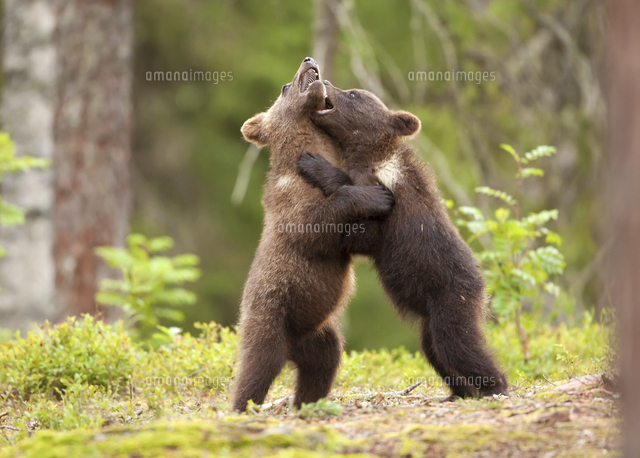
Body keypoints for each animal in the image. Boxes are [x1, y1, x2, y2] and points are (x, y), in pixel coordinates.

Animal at [231, 59, 396, 412]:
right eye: (284, 87)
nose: (308, 60)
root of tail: (291, 349)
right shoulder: (293, 206)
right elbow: (317, 224)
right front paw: (376, 197)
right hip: (269, 316)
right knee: (256, 366)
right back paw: (243, 406)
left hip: (318, 332)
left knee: (323, 363)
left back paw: (308, 401)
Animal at [297, 81, 508, 398]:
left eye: (353, 94)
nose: (327, 84)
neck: (372, 157)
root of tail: (483, 291)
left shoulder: (391, 213)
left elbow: (363, 221)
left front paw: (312, 163)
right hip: (430, 319)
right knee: (434, 351)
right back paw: (459, 392)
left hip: (451, 300)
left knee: (459, 345)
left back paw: (496, 386)